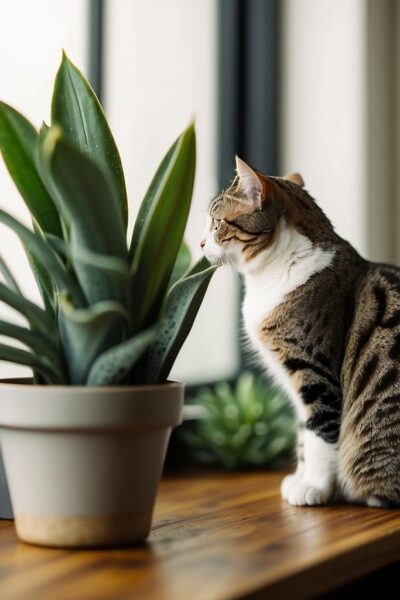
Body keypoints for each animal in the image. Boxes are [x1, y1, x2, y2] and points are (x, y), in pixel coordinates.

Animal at [200, 156, 400, 506]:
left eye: (216, 223)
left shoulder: (313, 371)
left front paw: (315, 488)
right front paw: (300, 479)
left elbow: (320, 434)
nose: (199, 242)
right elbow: (303, 436)